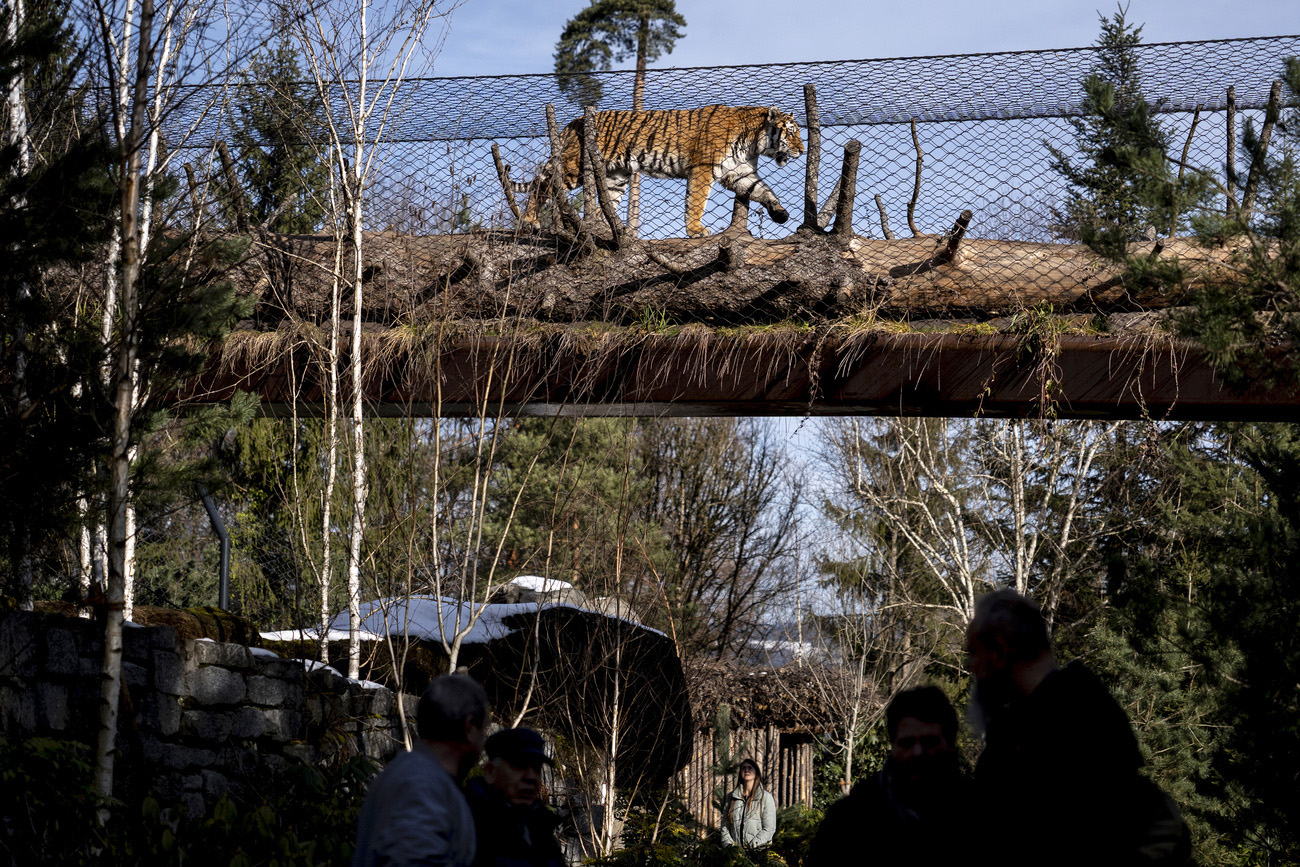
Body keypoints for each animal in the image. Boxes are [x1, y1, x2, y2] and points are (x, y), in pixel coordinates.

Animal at [515, 105, 805, 239]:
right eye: (791, 133)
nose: (802, 150)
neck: (752, 142)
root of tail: (572, 122)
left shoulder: (738, 171)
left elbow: (762, 190)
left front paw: (780, 213)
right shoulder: (703, 168)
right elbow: (696, 202)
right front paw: (696, 230)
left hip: (615, 177)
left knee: (602, 206)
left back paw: (606, 231)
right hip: (573, 167)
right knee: (542, 185)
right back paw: (529, 221)